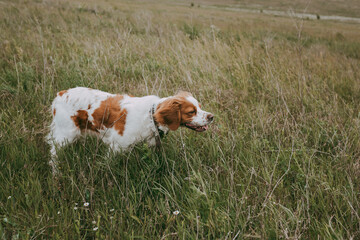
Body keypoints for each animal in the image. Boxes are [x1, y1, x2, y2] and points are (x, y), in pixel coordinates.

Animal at [46, 87, 212, 173]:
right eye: (191, 112)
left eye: (199, 107)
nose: (212, 117)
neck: (150, 115)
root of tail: (60, 94)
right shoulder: (117, 146)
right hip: (65, 135)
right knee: (53, 155)